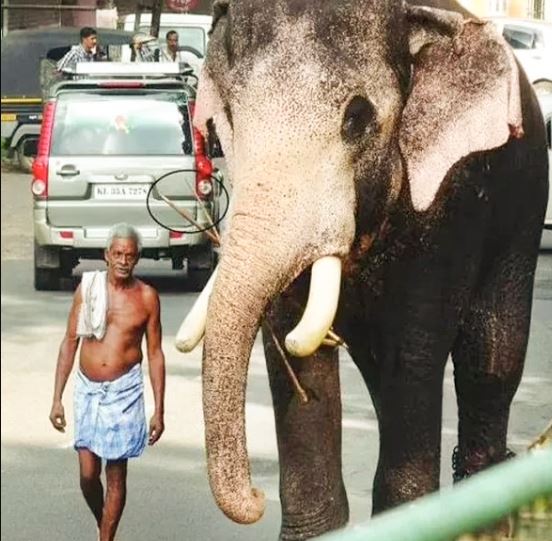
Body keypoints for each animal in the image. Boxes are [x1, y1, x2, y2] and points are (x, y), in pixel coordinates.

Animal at [176, 1, 548, 536]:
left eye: (357, 117)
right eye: (228, 117)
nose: (255, 498)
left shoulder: (445, 212)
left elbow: (413, 356)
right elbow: (294, 351)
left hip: (523, 211)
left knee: (491, 362)